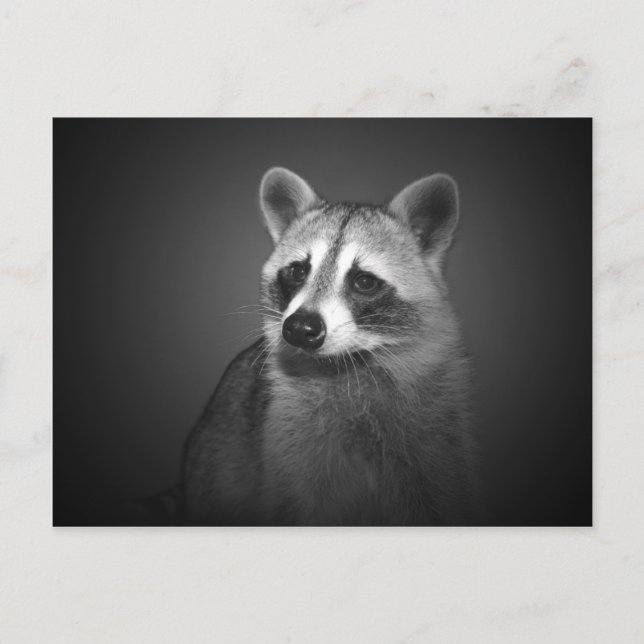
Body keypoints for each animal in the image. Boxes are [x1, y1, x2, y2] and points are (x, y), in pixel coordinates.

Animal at [182, 167, 480, 526]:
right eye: (297, 271)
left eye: (364, 281)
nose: (298, 329)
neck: (350, 362)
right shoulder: (288, 435)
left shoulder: (440, 433)